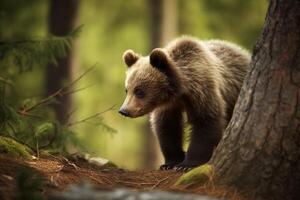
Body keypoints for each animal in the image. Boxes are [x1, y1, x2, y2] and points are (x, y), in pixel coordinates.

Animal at [118, 36, 250, 170]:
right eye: (127, 90)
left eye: (139, 91)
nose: (124, 110)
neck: (180, 92)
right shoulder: (169, 106)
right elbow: (168, 127)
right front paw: (170, 163)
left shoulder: (203, 91)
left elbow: (205, 121)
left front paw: (187, 164)